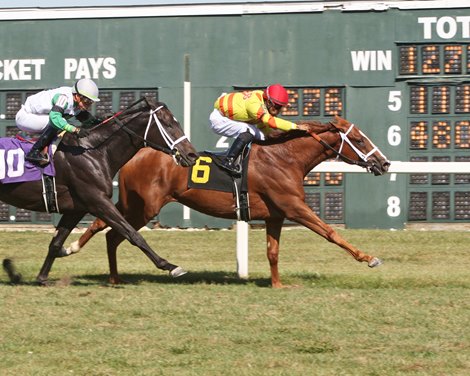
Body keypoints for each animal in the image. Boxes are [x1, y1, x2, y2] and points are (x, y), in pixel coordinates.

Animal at [0, 97, 198, 284]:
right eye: (168, 124)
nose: (192, 155)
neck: (93, 152)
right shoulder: (98, 201)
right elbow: (132, 234)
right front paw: (170, 266)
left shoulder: (77, 208)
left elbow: (56, 243)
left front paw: (40, 277)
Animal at [67, 116, 390, 286]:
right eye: (358, 140)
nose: (384, 163)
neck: (284, 158)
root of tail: (134, 156)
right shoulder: (295, 207)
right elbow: (331, 233)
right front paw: (369, 258)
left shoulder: (276, 215)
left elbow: (273, 252)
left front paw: (277, 284)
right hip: (145, 207)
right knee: (112, 230)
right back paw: (83, 256)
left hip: (134, 205)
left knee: (106, 227)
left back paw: (98, 267)